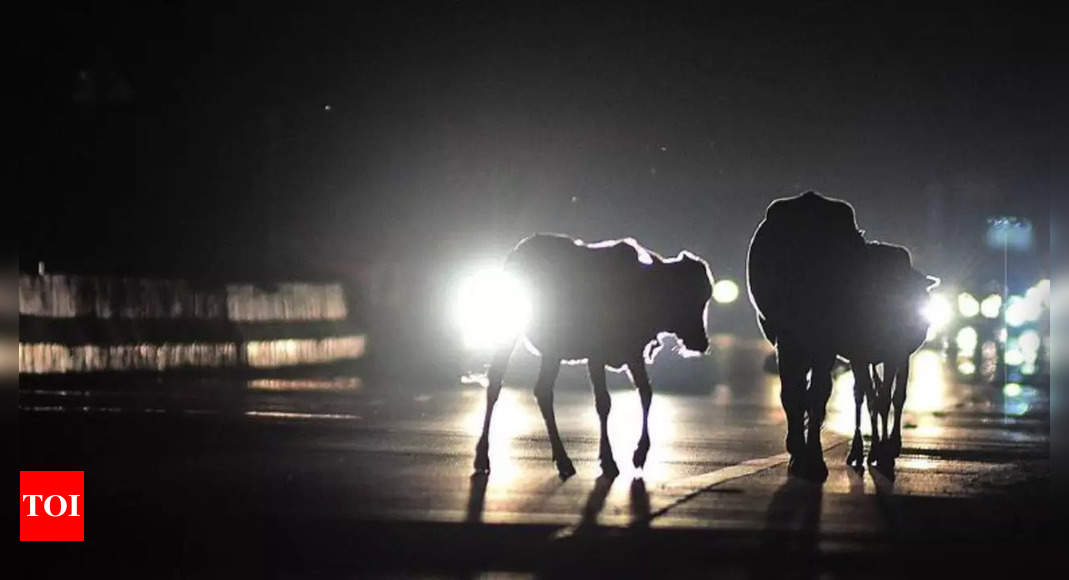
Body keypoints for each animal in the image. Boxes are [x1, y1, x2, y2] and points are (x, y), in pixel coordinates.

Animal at [474, 233, 709, 478]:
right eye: (683, 295)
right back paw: (485, 456)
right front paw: (608, 460)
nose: (701, 343)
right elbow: (603, 403)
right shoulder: (596, 357)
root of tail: (520, 251)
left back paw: (562, 459)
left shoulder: (634, 355)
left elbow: (646, 393)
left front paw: (640, 454)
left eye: (704, 298)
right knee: (497, 386)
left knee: (541, 391)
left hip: (552, 353)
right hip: (511, 335)